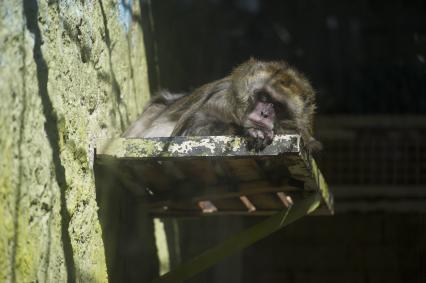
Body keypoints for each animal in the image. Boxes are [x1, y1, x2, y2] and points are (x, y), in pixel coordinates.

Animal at [125, 58, 322, 153]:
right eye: (265, 98)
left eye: (278, 106)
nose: (265, 114)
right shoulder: (222, 96)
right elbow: (195, 127)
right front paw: (250, 131)